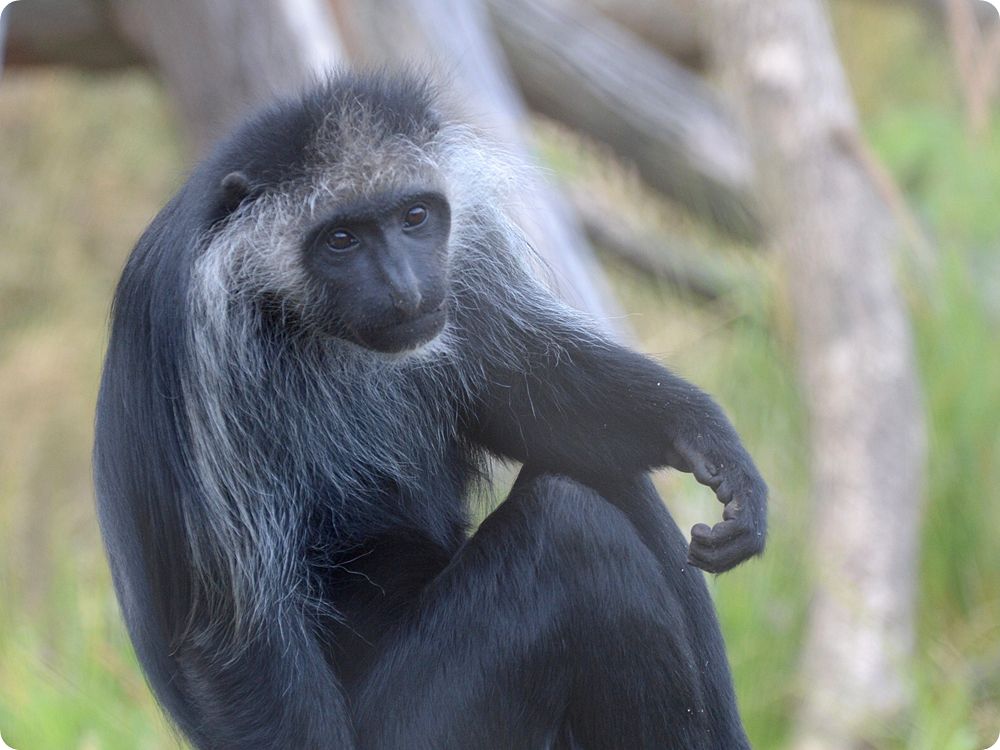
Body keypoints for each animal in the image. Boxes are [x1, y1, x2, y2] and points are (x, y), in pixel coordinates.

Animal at [93, 71, 767, 750]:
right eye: (341, 239)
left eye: (414, 217)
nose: (407, 290)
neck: (312, 325)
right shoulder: (207, 351)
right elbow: (235, 636)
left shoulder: (459, 271)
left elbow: (530, 396)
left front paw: (708, 439)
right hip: (428, 723)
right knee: (571, 530)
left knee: (607, 476)